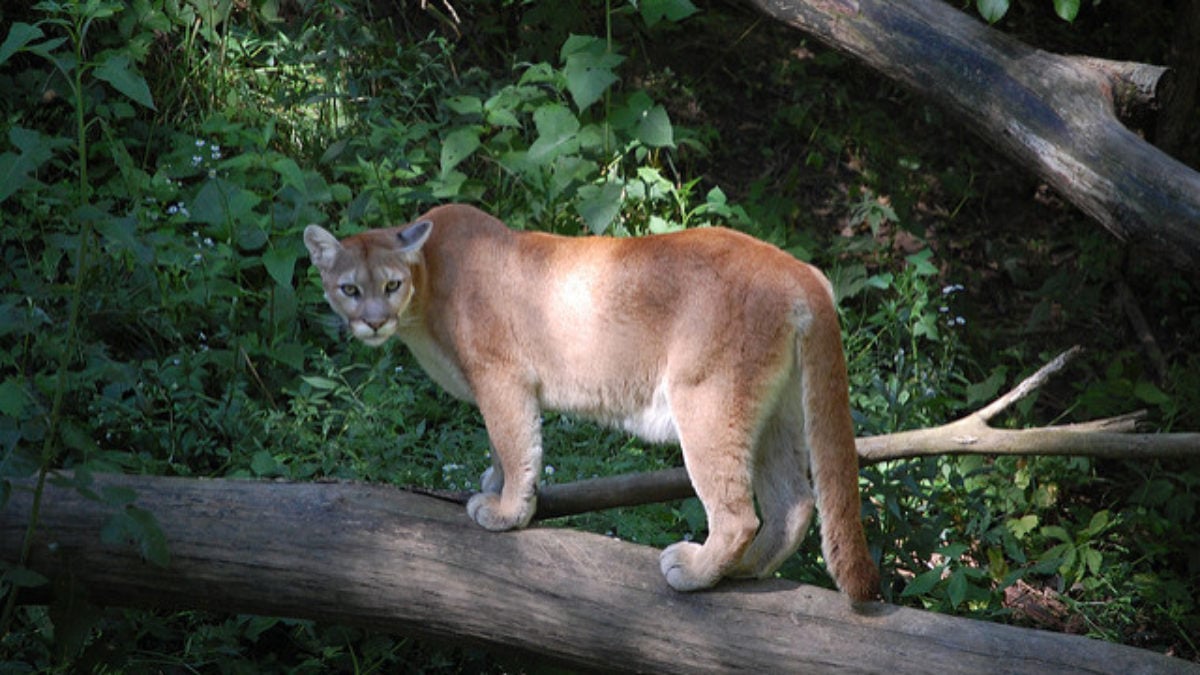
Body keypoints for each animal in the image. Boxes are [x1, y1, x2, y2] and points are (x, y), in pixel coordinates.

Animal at [304, 201, 878, 595]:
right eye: (350, 289)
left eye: (391, 285)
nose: (373, 321)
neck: (424, 287)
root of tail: (798, 270)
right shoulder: (500, 384)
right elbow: (502, 443)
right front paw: (497, 486)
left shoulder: (501, 376)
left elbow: (513, 441)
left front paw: (506, 511)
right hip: (775, 412)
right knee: (795, 502)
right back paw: (747, 570)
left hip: (708, 401)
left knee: (739, 514)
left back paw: (694, 571)